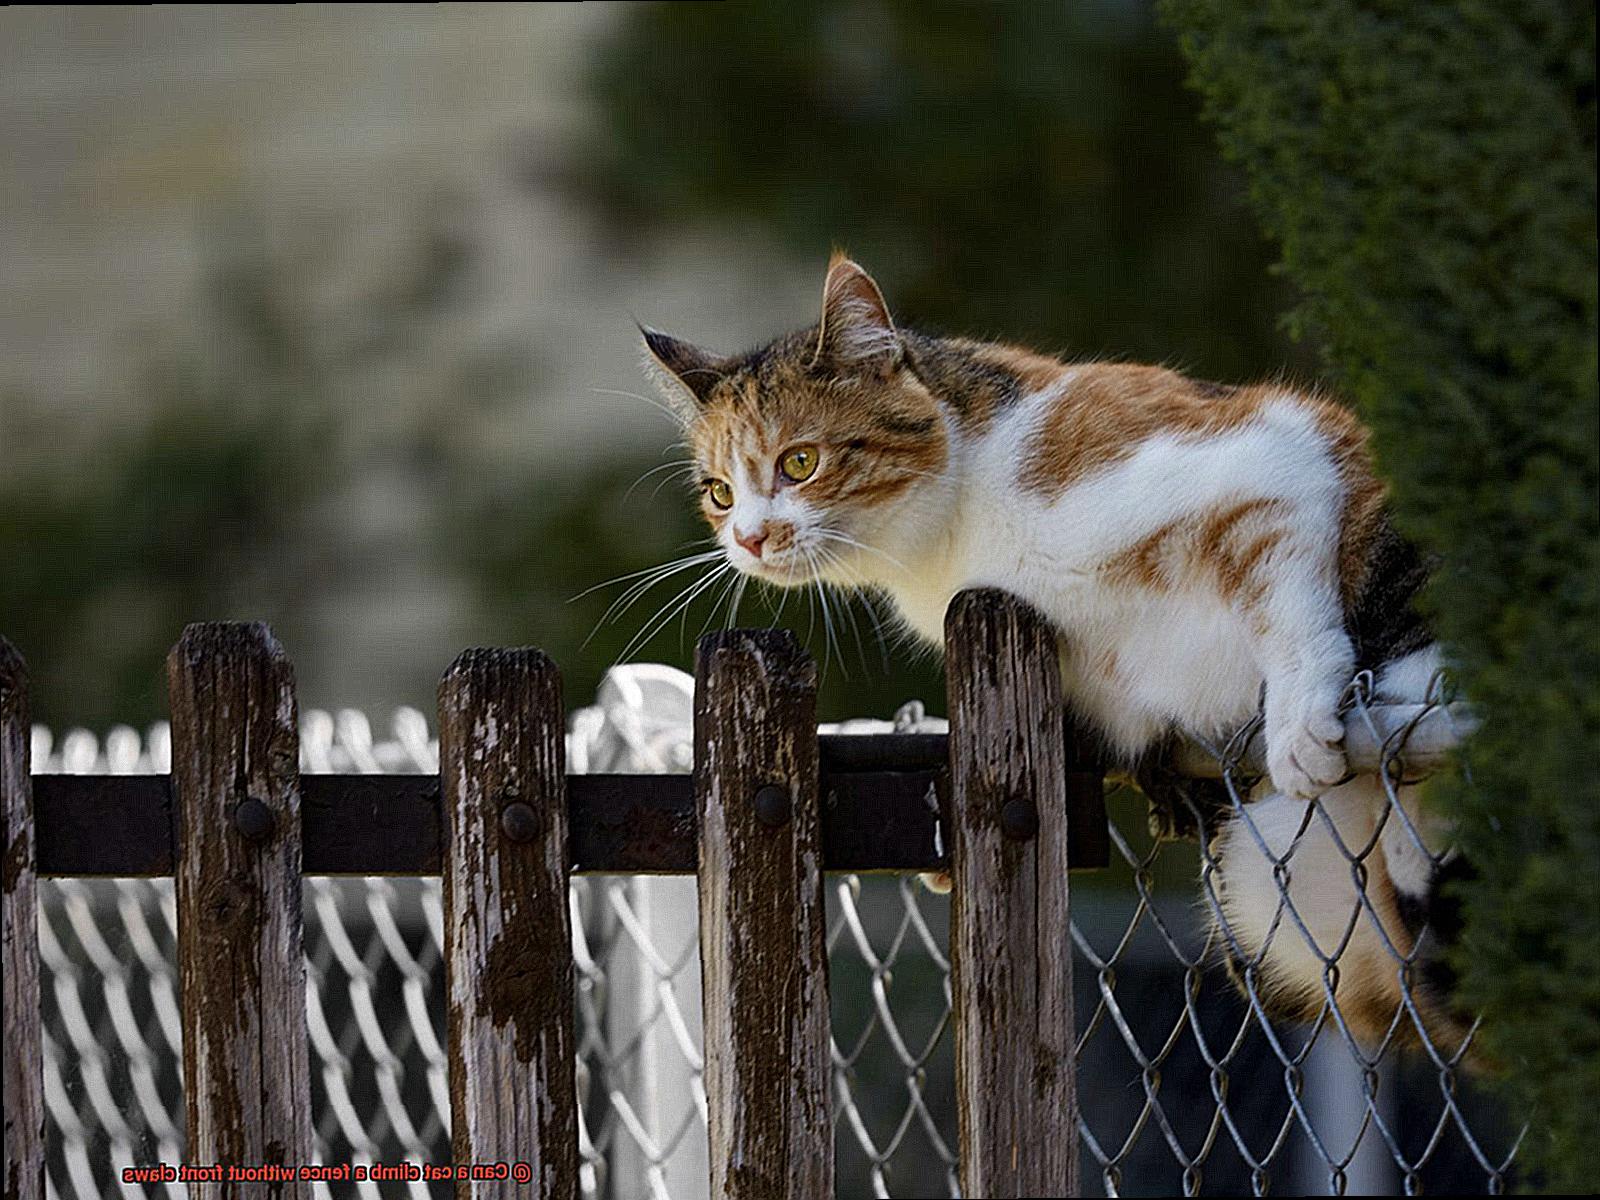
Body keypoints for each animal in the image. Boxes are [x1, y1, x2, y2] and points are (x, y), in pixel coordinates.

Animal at [643, 251, 1465, 1049]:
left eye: (800, 463)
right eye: (719, 492)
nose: (749, 537)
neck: (963, 515)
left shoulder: (1266, 458)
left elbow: (1284, 592)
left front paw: (1298, 729)